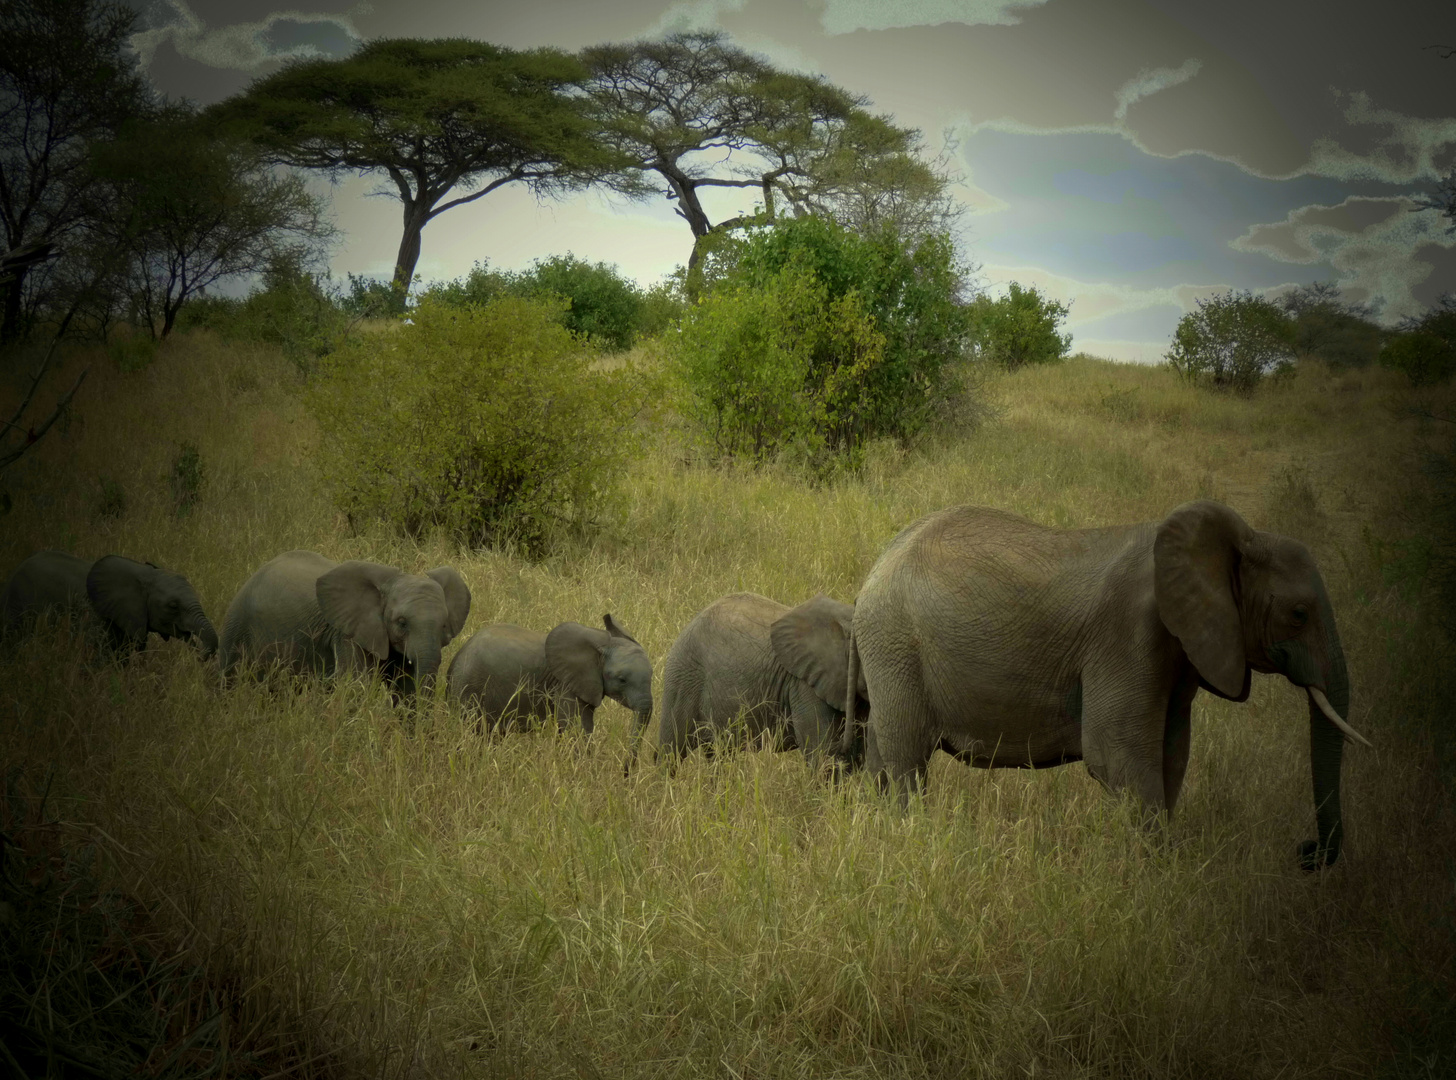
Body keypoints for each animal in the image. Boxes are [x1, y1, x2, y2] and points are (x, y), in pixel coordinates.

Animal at [218, 550, 468, 701]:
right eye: (402, 623)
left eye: (444, 626)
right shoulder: (347, 633)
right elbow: (355, 685)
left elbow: (405, 691)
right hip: (236, 626)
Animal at [850, 503, 1368, 873]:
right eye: (1298, 614)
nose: (1305, 852)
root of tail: (873, 570)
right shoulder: (1131, 633)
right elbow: (1116, 755)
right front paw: (1160, 882)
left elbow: (1170, 756)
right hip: (897, 645)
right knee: (906, 760)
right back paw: (906, 842)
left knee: (883, 757)